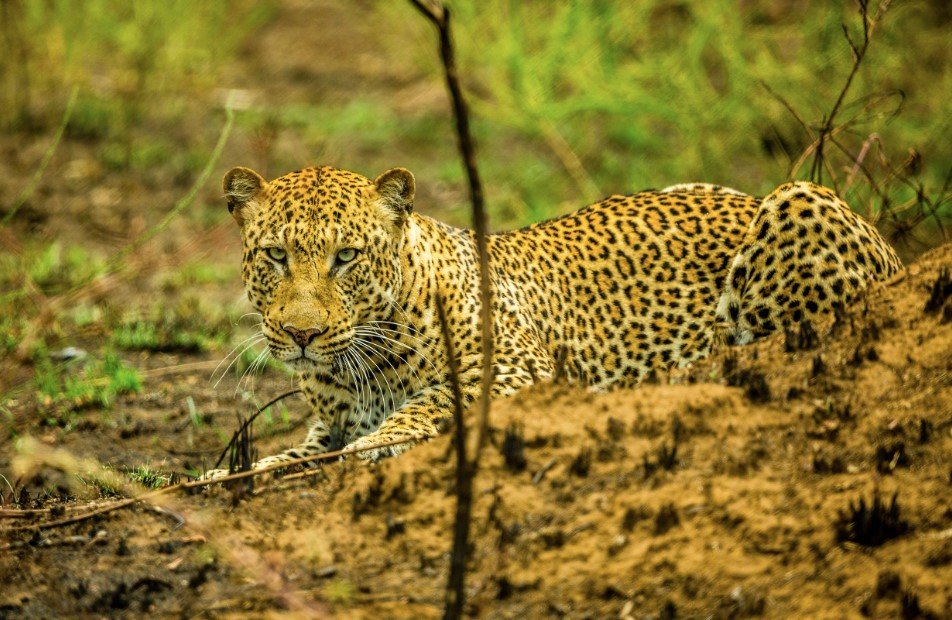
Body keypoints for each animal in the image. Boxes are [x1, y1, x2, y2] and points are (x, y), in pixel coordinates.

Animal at [202, 164, 901, 478]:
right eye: (276, 256)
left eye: (346, 257)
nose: (301, 334)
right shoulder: (326, 425)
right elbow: (288, 454)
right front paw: (224, 472)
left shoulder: (517, 373)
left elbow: (431, 402)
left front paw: (384, 441)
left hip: (798, 200)